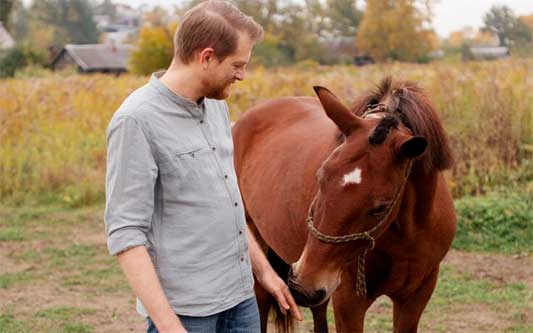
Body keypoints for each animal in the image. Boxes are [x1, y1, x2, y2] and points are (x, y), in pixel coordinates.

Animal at [231, 78, 456, 332]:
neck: (406, 236)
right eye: (320, 177)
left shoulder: (415, 297)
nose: (302, 286)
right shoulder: (348, 302)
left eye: (380, 207)